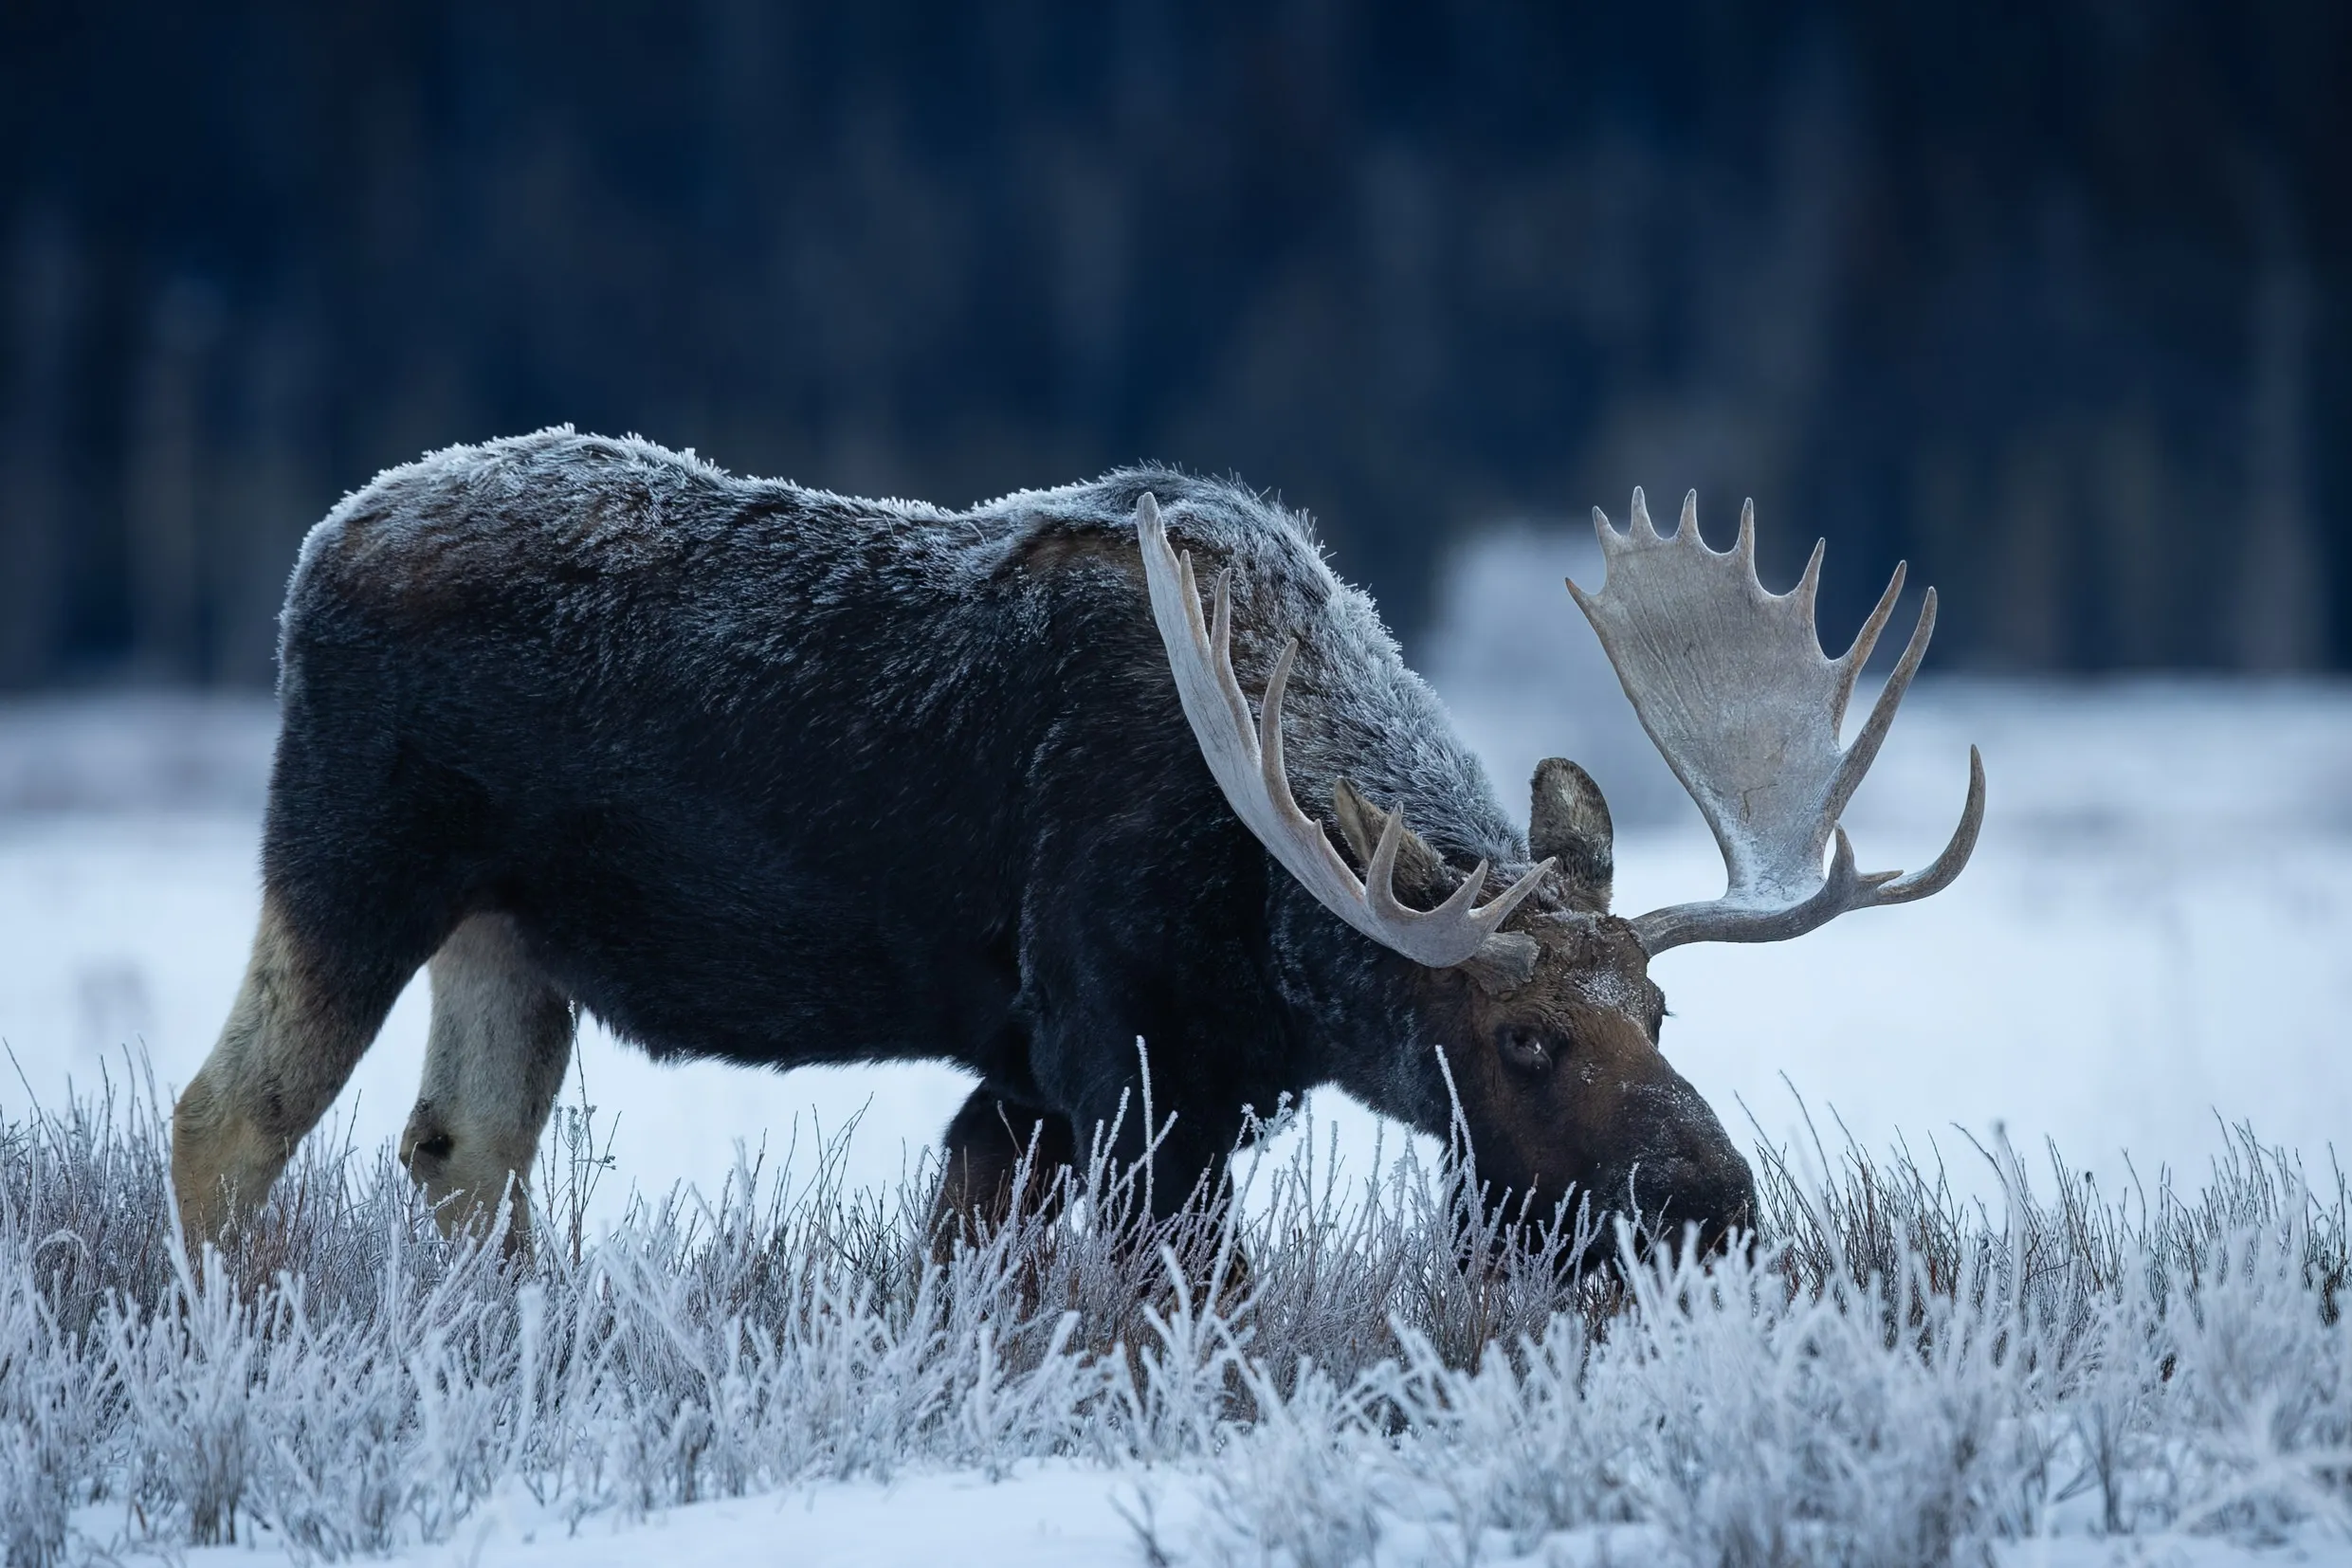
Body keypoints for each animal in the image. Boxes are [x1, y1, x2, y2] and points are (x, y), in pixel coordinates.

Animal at [168, 428, 1982, 1262]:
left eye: (1661, 1011)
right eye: (1521, 1035)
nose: (1711, 1195)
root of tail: (314, 550)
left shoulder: (1040, 1080)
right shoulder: (1114, 1048)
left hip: (510, 933)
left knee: (459, 1151)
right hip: (352, 856)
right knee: (223, 1118)